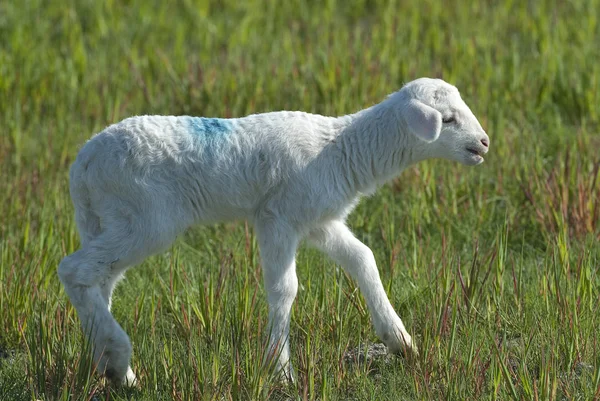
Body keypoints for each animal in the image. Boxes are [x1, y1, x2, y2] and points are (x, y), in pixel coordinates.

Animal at [58, 76, 492, 382]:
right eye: (448, 119)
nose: (485, 143)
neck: (341, 149)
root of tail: (81, 165)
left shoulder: (317, 219)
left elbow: (363, 258)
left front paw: (401, 342)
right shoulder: (276, 216)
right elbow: (286, 288)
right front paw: (280, 371)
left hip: (108, 218)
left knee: (98, 282)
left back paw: (113, 368)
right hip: (146, 217)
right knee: (73, 270)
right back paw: (119, 355)